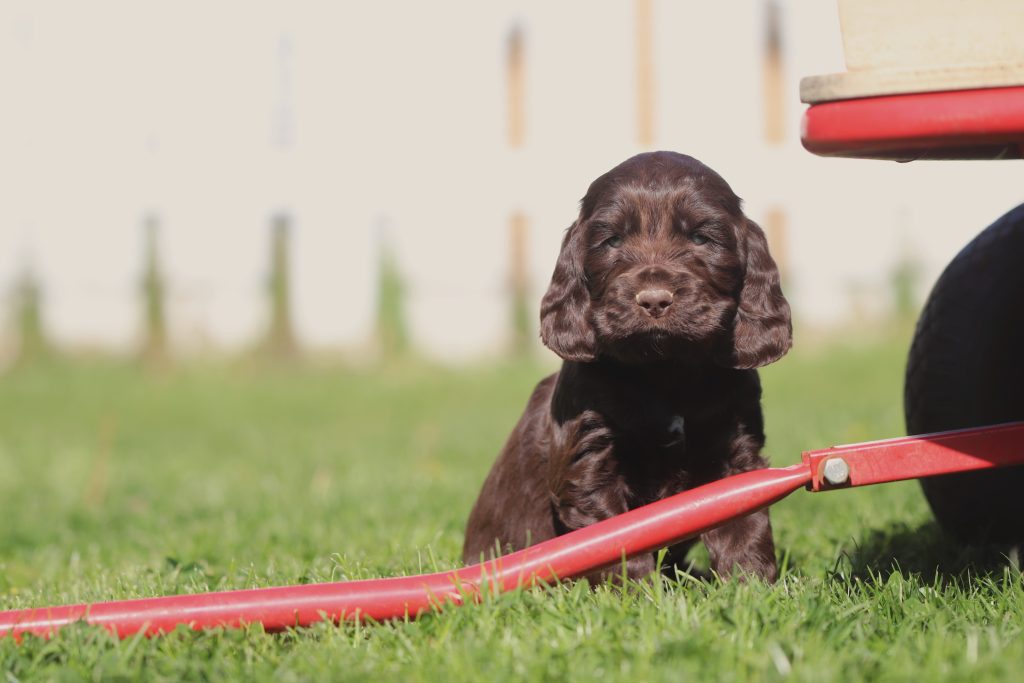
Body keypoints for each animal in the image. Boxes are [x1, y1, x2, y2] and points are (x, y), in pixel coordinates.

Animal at [464, 150, 790, 581]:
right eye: (612, 240)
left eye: (701, 237)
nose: (654, 299)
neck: (665, 370)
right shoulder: (590, 458)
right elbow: (617, 537)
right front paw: (637, 593)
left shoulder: (734, 450)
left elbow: (743, 522)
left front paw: (752, 588)